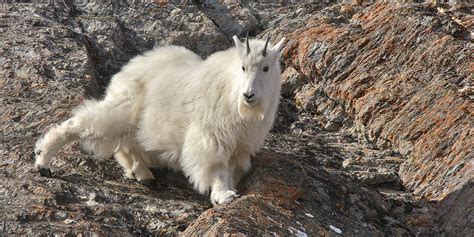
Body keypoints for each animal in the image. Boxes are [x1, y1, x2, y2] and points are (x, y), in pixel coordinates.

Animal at [34, 34, 286, 205]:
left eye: (266, 67)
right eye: (243, 67)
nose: (248, 95)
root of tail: (130, 65)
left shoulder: (241, 144)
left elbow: (233, 169)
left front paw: (228, 191)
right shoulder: (212, 137)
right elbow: (216, 167)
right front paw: (224, 195)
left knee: (127, 145)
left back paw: (143, 174)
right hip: (124, 106)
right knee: (85, 123)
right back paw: (43, 160)